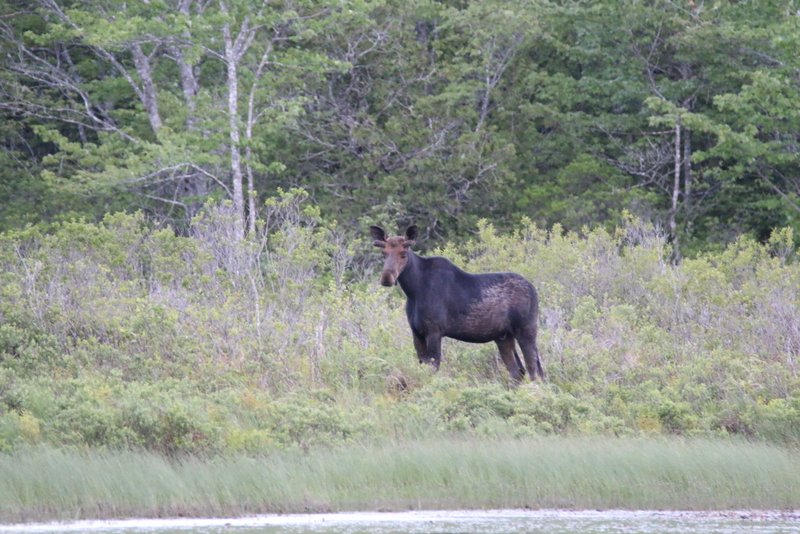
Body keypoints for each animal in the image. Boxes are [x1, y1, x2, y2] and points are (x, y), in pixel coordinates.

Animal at [368, 224, 544, 384]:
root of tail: (534, 290)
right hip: (504, 337)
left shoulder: (434, 331)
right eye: (384, 253)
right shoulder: (416, 332)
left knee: (535, 370)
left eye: (403, 253)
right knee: (518, 372)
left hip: (526, 330)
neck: (413, 291)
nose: (387, 278)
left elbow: (433, 369)